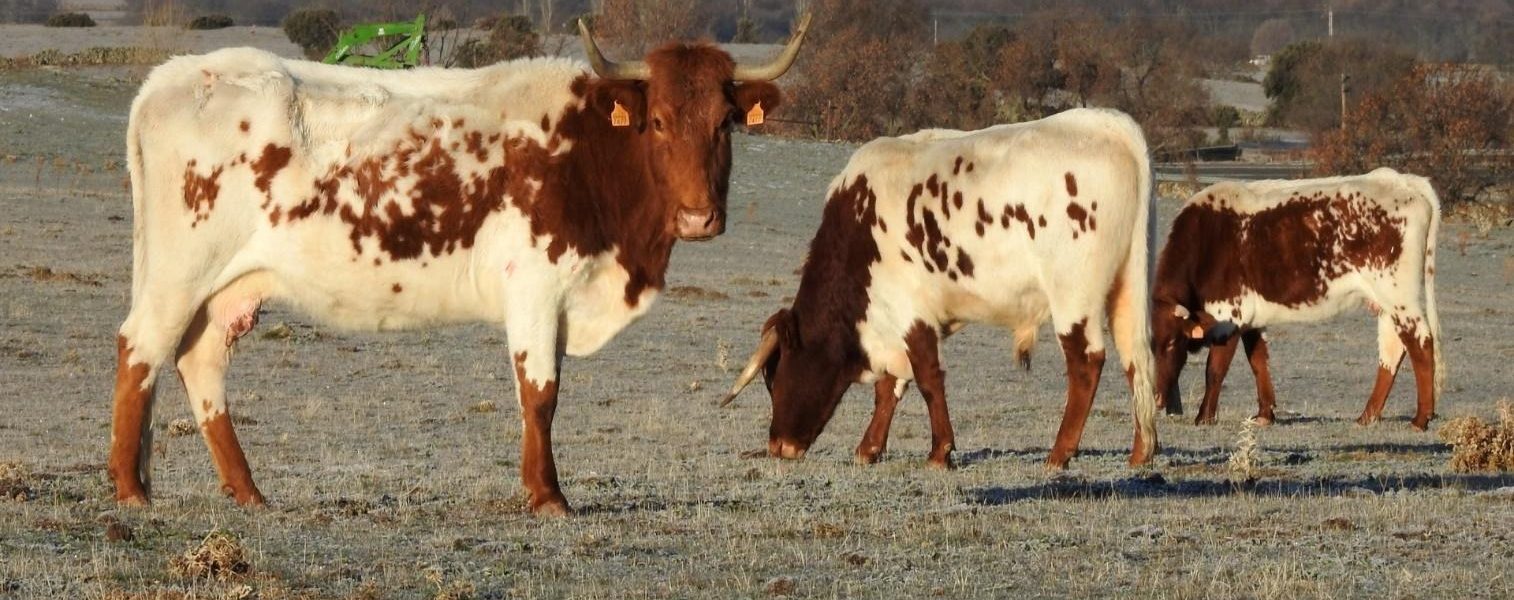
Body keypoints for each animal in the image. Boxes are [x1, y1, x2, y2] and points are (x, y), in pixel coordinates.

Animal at [107, 17, 809, 516]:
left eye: (725, 123)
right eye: (657, 121)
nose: (699, 217)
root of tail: (173, 77)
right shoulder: (535, 288)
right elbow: (541, 392)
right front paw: (547, 497)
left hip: (223, 288)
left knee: (199, 361)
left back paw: (246, 491)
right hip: (178, 272)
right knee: (140, 349)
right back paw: (129, 489)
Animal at [721, 108, 1159, 469]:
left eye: (774, 377)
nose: (778, 445)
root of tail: (1112, 126)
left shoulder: (910, 311)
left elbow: (927, 377)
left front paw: (939, 451)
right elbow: (891, 385)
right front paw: (869, 448)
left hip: (1073, 295)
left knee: (1086, 363)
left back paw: (1059, 454)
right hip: (1127, 286)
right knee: (1135, 356)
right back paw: (1141, 452)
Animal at [1151, 168, 1443, 429]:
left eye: (1172, 343)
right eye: (1151, 344)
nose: (1157, 398)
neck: (1207, 240)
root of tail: (1403, 181)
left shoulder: (1229, 316)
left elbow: (1214, 370)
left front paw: (1204, 417)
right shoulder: (1252, 320)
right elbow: (1259, 361)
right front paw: (1265, 415)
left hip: (1400, 296)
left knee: (1420, 342)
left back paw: (1421, 419)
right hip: (1386, 304)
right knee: (1392, 350)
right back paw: (1367, 417)